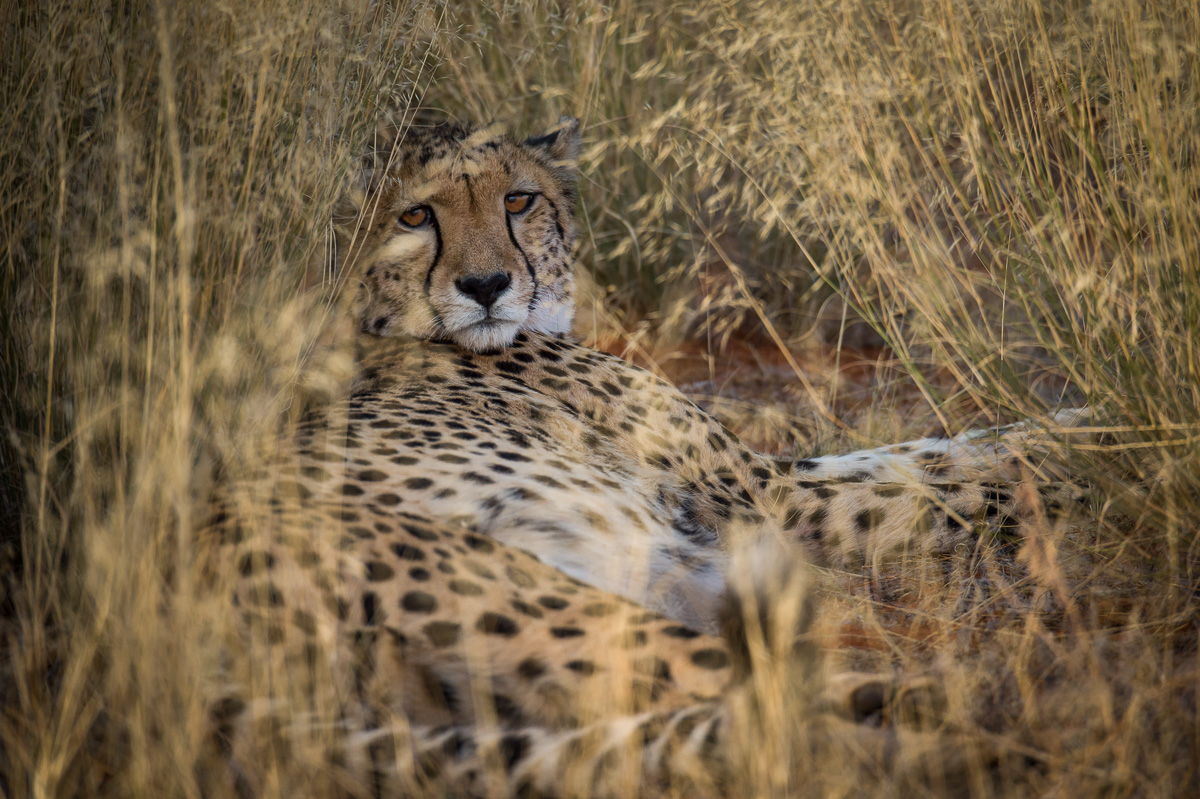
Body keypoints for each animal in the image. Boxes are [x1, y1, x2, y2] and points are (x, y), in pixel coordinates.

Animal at [202, 117, 1088, 797]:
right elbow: (960, 472)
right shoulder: (773, 499)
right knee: (757, 702)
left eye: (518, 199)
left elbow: (950, 444)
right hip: (524, 590)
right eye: (416, 216)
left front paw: (1087, 416)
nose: (486, 285)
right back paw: (967, 720)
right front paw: (1101, 446)